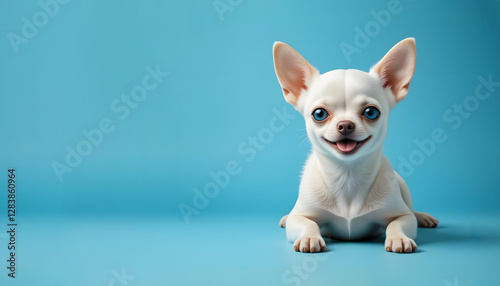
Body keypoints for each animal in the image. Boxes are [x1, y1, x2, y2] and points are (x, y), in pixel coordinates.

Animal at [274, 37, 438, 252]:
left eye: (371, 112)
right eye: (319, 114)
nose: (345, 124)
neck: (347, 176)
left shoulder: (402, 215)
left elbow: (397, 223)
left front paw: (399, 238)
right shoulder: (300, 216)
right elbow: (307, 223)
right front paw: (309, 237)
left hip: (403, 185)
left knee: (412, 210)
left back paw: (423, 217)